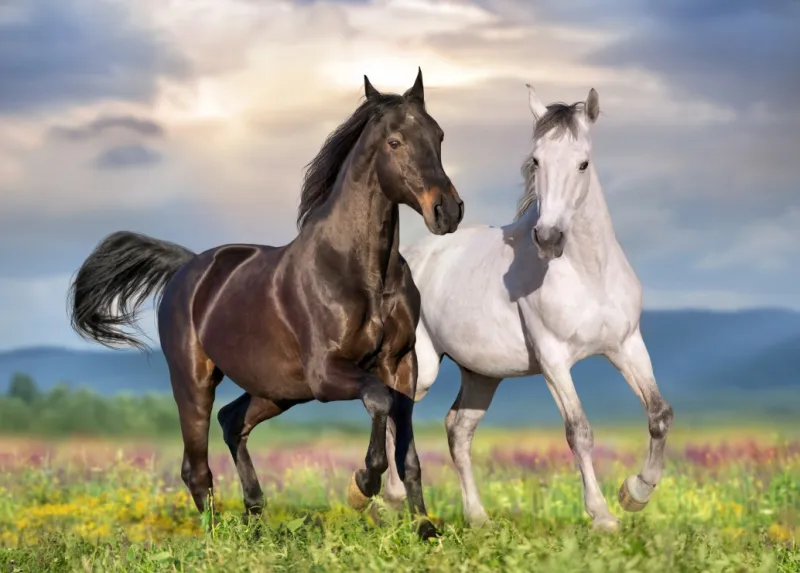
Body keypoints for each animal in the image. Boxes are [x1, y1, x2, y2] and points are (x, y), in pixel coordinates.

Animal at [66, 69, 464, 540]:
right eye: (395, 142)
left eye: (439, 135)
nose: (448, 211)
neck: (362, 273)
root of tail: (187, 267)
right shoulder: (327, 372)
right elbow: (377, 402)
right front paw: (360, 486)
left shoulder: (401, 365)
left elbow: (408, 456)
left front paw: (425, 529)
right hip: (195, 381)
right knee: (196, 465)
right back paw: (217, 536)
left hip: (278, 390)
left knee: (231, 421)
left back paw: (255, 514)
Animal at [380, 85, 674, 532]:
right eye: (536, 160)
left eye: (583, 163)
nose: (549, 238)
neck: (588, 273)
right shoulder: (553, 358)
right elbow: (579, 430)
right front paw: (603, 515)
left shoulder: (626, 346)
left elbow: (659, 415)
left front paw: (635, 493)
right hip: (423, 368)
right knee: (396, 413)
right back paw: (391, 497)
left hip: (482, 375)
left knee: (458, 429)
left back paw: (477, 516)